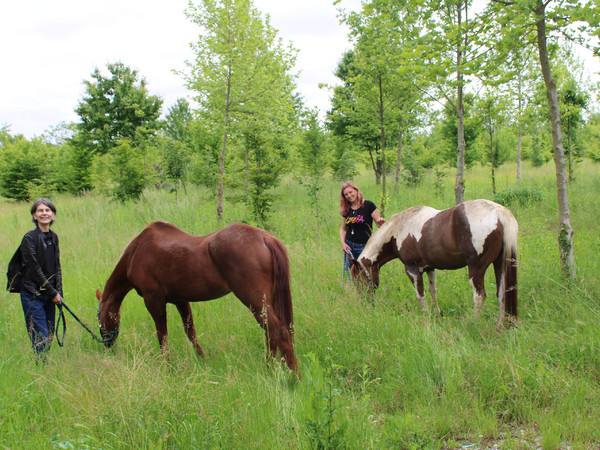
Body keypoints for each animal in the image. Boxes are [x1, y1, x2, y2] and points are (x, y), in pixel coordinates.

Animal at [96, 220, 300, 374]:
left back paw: (293, 376)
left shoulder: (153, 300)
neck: (136, 251)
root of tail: (265, 237)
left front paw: (167, 366)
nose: (106, 346)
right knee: (272, 334)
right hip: (267, 302)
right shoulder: (180, 300)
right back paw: (270, 368)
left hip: (255, 301)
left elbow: (163, 336)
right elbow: (190, 332)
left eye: (100, 320)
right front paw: (203, 359)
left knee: (278, 332)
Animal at [350, 200, 516, 326]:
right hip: (499, 264)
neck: (398, 230)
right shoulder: (430, 268)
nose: (362, 302)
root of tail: (499, 213)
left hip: (476, 269)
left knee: (479, 296)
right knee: (501, 294)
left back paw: (473, 323)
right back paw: (499, 326)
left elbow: (420, 295)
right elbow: (432, 291)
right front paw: (436, 313)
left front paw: (423, 316)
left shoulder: (412, 270)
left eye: (358, 279)